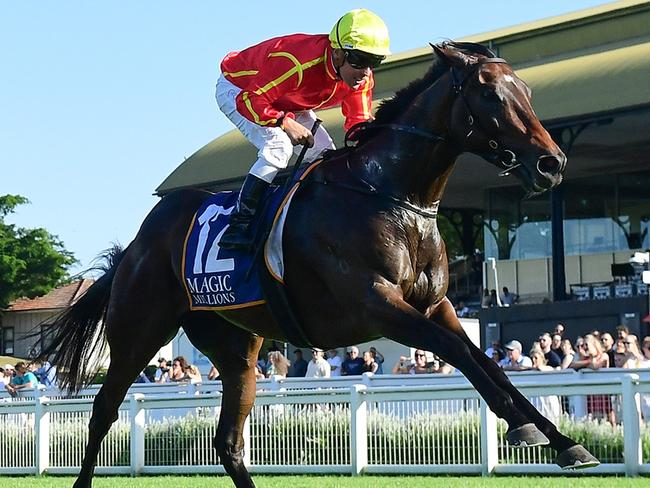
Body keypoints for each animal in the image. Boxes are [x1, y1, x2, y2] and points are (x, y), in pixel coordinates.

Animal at [41, 43, 596, 488]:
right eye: (492, 96)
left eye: (526, 89)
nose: (552, 163)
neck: (390, 196)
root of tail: (137, 244)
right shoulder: (377, 305)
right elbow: (460, 355)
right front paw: (525, 428)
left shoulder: (436, 306)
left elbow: (485, 360)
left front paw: (565, 442)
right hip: (140, 329)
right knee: (102, 412)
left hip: (236, 349)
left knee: (227, 441)